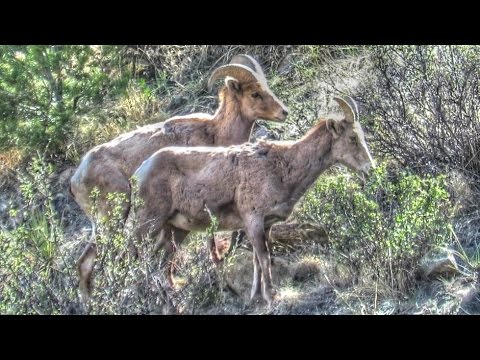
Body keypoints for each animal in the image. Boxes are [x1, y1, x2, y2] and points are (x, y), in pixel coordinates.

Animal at [71, 54, 288, 300]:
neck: (215, 134)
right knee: (92, 262)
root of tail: (76, 180)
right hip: (113, 219)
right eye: (254, 93)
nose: (284, 112)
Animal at [132, 96, 376, 306]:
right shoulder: (253, 220)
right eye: (352, 138)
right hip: (148, 223)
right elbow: (264, 258)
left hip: (176, 229)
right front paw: (271, 296)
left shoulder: (265, 225)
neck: (282, 168)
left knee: (160, 262)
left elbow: (258, 262)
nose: (370, 169)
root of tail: (140, 172)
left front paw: (255, 296)